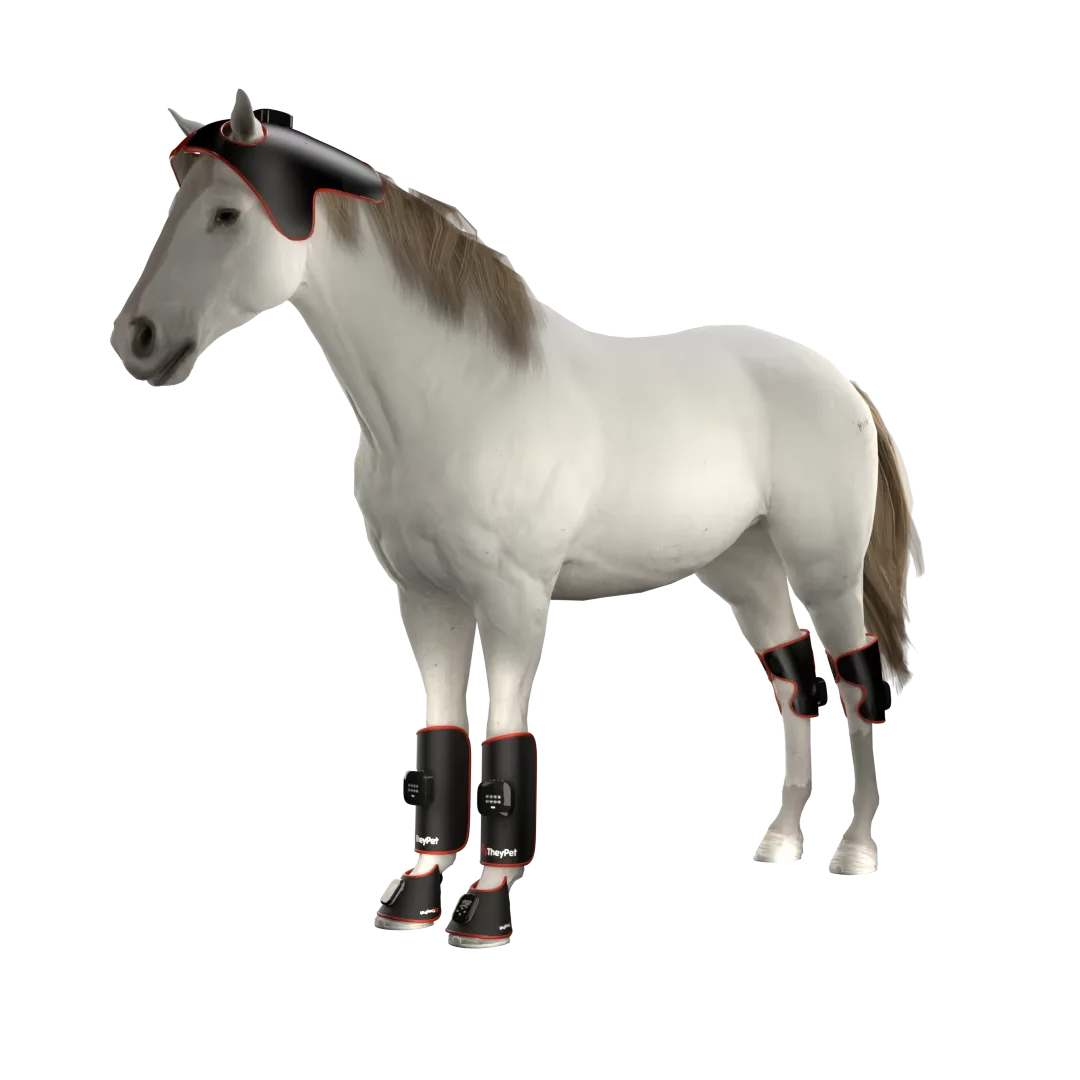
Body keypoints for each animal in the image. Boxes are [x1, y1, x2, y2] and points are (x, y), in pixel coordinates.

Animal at [111, 90, 921, 941]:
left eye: (227, 214)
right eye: (176, 201)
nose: (137, 339)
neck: (456, 394)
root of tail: (840, 381)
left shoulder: (513, 605)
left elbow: (504, 748)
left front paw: (487, 909)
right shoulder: (427, 602)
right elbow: (441, 744)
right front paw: (414, 901)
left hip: (827, 574)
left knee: (856, 693)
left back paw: (853, 854)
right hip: (750, 572)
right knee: (793, 686)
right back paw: (781, 843)